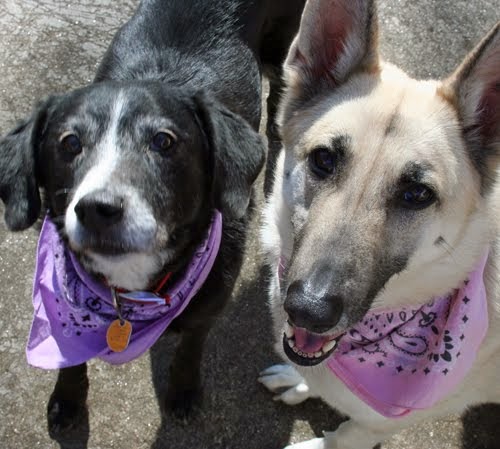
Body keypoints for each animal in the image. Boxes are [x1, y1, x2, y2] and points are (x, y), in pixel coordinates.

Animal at [0, 0, 304, 432]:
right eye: (70, 143)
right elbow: (69, 359)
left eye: (164, 141)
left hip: (283, 44)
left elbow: (192, 343)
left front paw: (183, 391)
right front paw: (67, 399)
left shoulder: (211, 298)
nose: (99, 209)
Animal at [260, 0, 498, 448]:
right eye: (324, 159)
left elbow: (338, 438)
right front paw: (299, 382)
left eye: (417, 193)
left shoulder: (374, 425)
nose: (308, 310)